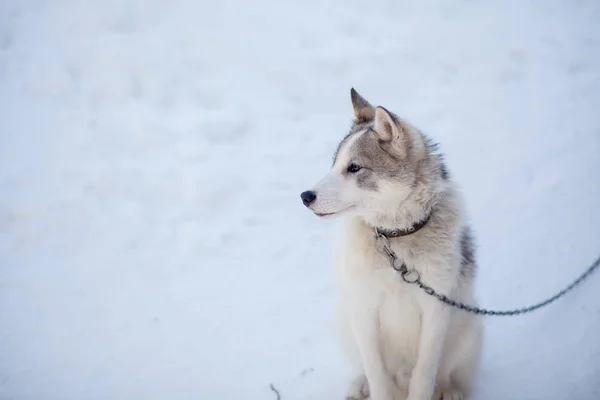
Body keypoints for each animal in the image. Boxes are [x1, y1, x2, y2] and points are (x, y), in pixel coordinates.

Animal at [300, 90, 482, 400]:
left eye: (354, 167)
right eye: (334, 163)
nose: (305, 196)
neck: (395, 239)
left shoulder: (435, 310)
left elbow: (425, 376)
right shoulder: (364, 310)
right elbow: (377, 376)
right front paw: (372, 386)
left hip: (468, 326)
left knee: (445, 372)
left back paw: (449, 390)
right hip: (345, 318)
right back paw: (359, 385)